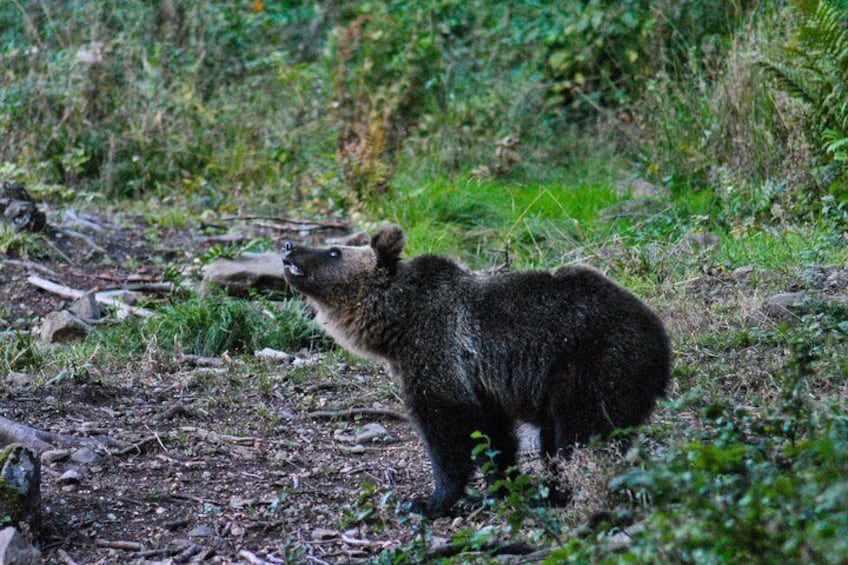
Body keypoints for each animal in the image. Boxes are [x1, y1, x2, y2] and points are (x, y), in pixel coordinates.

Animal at [282, 225, 672, 516]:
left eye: (334, 251)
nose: (288, 245)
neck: (398, 323)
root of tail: (662, 344)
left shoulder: (438, 354)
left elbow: (447, 432)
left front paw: (428, 501)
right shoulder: (483, 385)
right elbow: (493, 435)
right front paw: (501, 486)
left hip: (594, 365)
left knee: (581, 437)